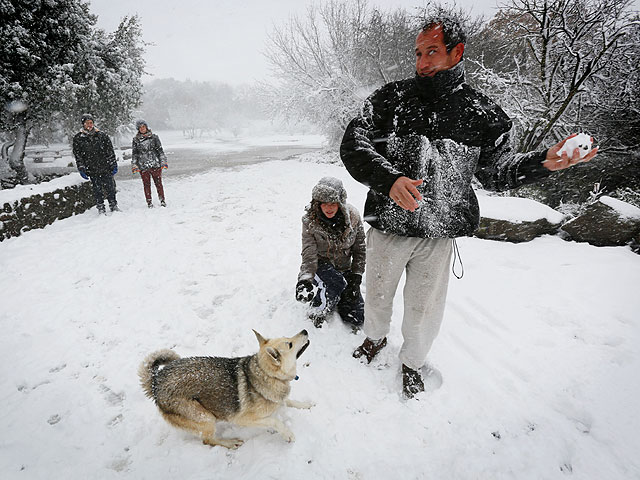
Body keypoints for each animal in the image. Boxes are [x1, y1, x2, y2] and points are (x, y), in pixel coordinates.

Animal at [139, 328, 312, 448]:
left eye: (287, 337)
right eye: (290, 344)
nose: (305, 330)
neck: (266, 374)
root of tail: (156, 381)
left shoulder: (278, 399)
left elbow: (290, 401)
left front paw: (307, 405)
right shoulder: (243, 419)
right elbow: (275, 421)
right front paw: (288, 434)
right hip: (205, 418)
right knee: (208, 440)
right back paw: (230, 443)